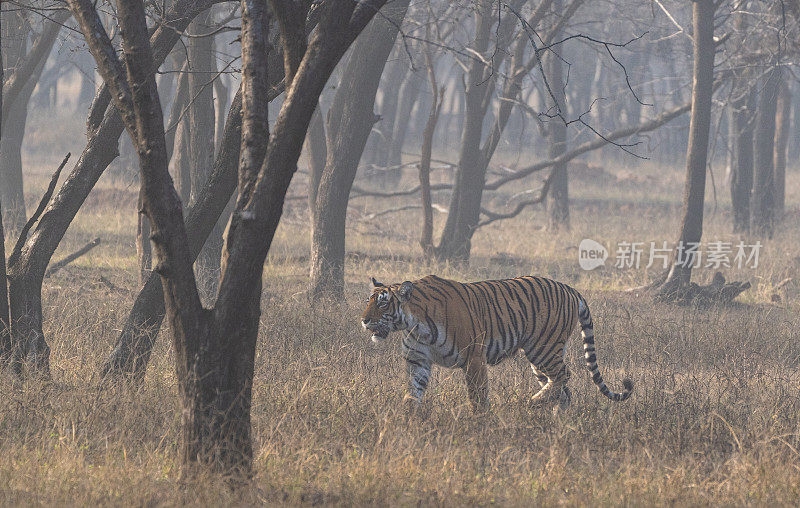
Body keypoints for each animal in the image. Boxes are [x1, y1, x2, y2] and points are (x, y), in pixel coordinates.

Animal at [360, 274, 632, 412]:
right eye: (368, 301)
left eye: (383, 303)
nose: (364, 320)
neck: (415, 323)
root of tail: (570, 288)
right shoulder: (417, 360)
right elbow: (412, 393)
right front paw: (407, 419)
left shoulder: (473, 358)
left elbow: (478, 396)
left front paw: (479, 424)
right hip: (542, 357)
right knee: (561, 389)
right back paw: (552, 418)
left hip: (543, 349)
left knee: (565, 375)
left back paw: (531, 402)